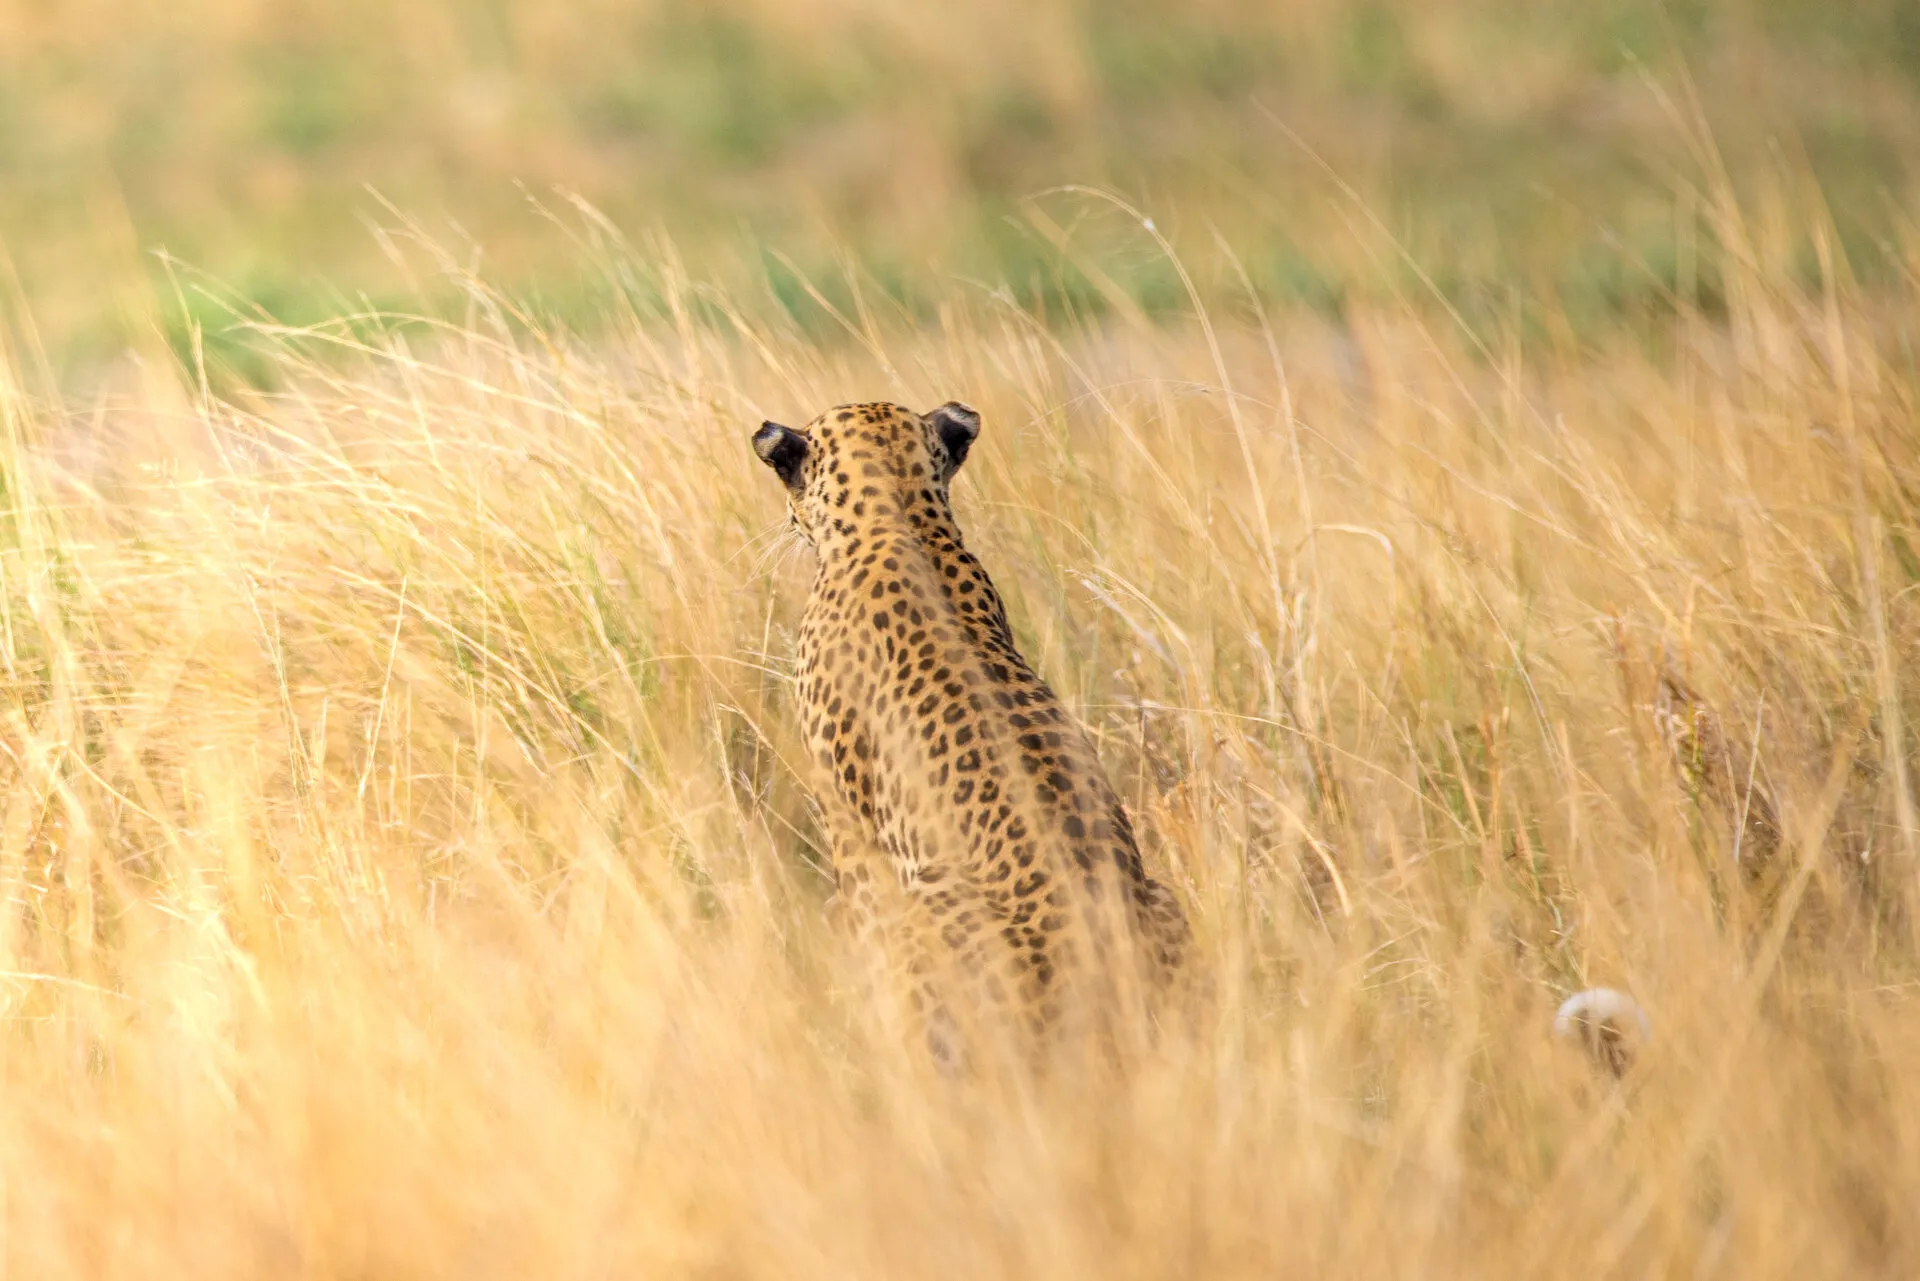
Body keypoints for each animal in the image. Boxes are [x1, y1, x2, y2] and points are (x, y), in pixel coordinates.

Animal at [751, 400, 1190, 1062]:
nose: (783, 519)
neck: (901, 513)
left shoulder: (850, 828)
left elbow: (862, 921)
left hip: (934, 905)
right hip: (1162, 896)